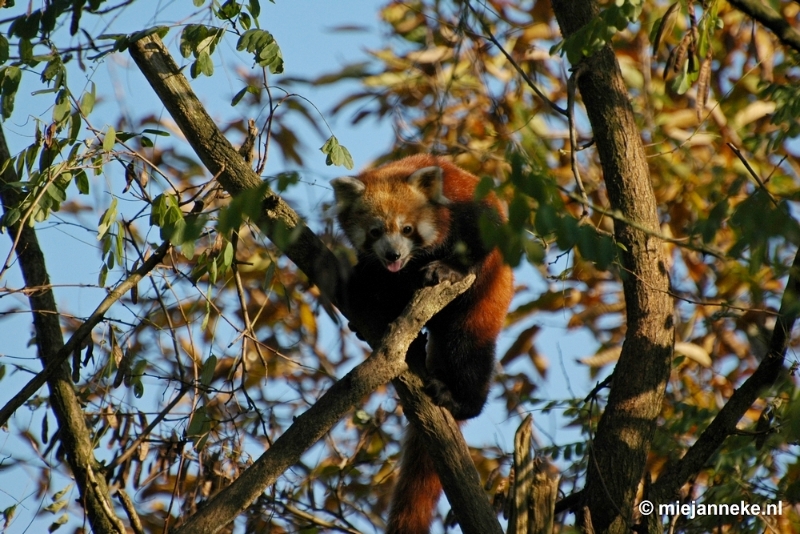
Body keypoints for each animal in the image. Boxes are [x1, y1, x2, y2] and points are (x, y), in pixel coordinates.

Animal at [330, 155, 512, 534]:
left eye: (407, 229)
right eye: (375, 231)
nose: (392, 254)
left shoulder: (470, 207)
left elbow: (479, 239)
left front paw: (448, 268)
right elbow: (372, 272)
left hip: (483, 305)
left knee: (468, 351)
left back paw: (461, 399)